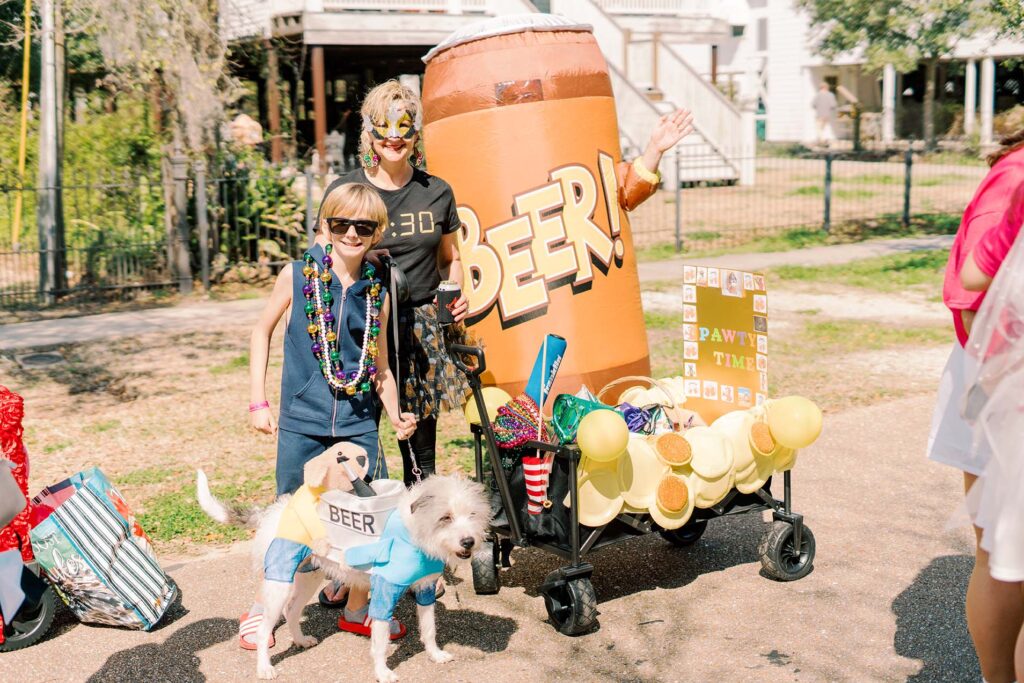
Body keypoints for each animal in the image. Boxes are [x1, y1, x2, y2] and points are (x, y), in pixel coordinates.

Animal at [197, 466, 493, 679]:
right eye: (445, 517)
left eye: (472, 514)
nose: (469, 542)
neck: (415, 531)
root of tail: (272, 512)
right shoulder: (384, 592)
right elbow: (380, 641)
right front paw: (382, 672)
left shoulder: (425, 589)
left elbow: (430, 629)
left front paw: (435, 655)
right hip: (279, 582)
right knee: (264, 628)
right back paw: (264, 668)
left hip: (309, 576)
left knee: (291, 610)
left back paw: (300, 640)